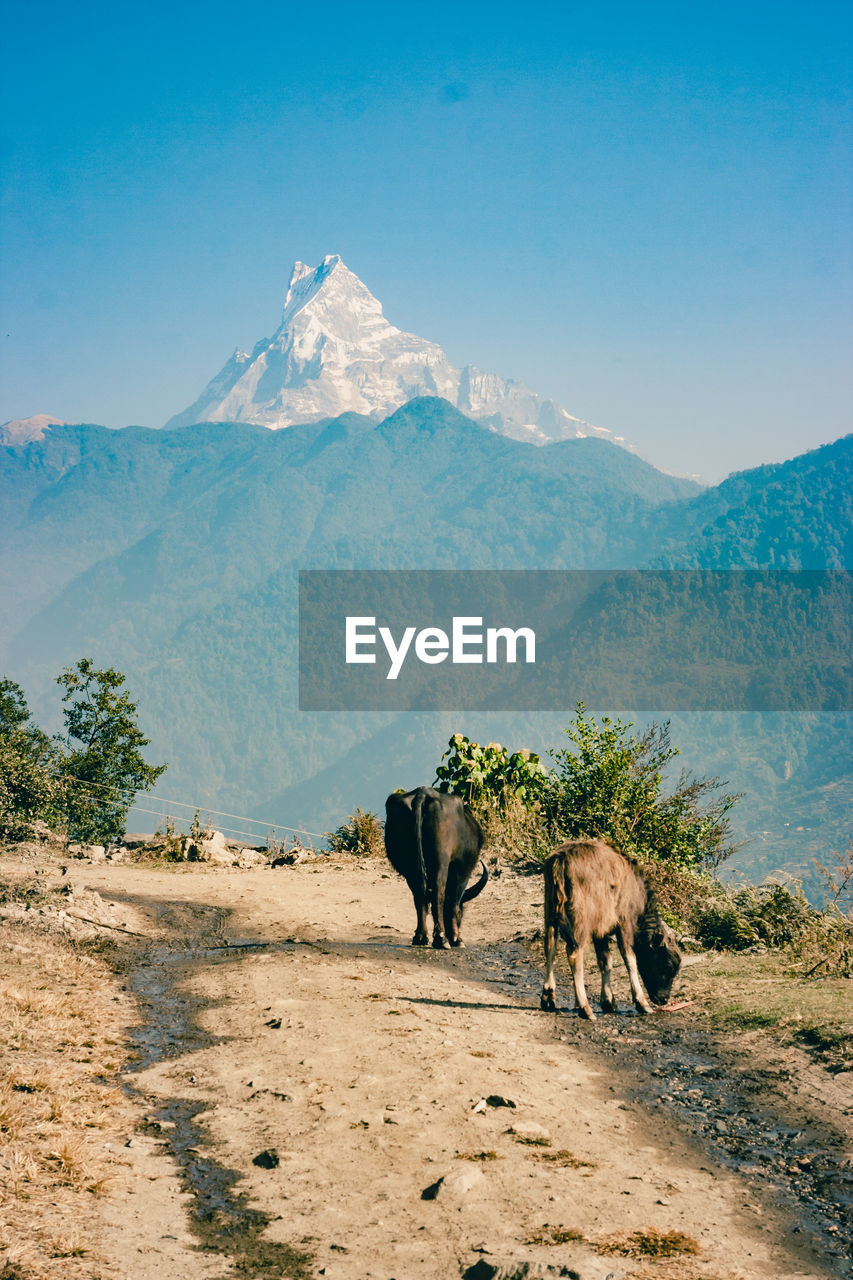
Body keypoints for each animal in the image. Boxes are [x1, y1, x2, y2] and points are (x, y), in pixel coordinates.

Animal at [384, 778, 484, 952]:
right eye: (462, 915)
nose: (454, 933)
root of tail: (422, 795)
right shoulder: (462, 871)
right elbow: (452, 903)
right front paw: (457, 939)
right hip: (441, 859)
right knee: (438, 891)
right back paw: (441, 939)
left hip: (410, 862)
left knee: (419, 894)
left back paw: (420, 937)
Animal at [537, 839, 676, 1018]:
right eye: (667, 966)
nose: (664, 999)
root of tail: (560, 860)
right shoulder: (624, 924)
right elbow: (630, 959)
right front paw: (642, 1003)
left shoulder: (600, 931)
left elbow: (605, 961)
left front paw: (608, 1001)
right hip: (581, 922)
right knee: (574, 953)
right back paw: (585, 1008)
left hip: (550, 915)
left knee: (550, 948)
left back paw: (548, 998)